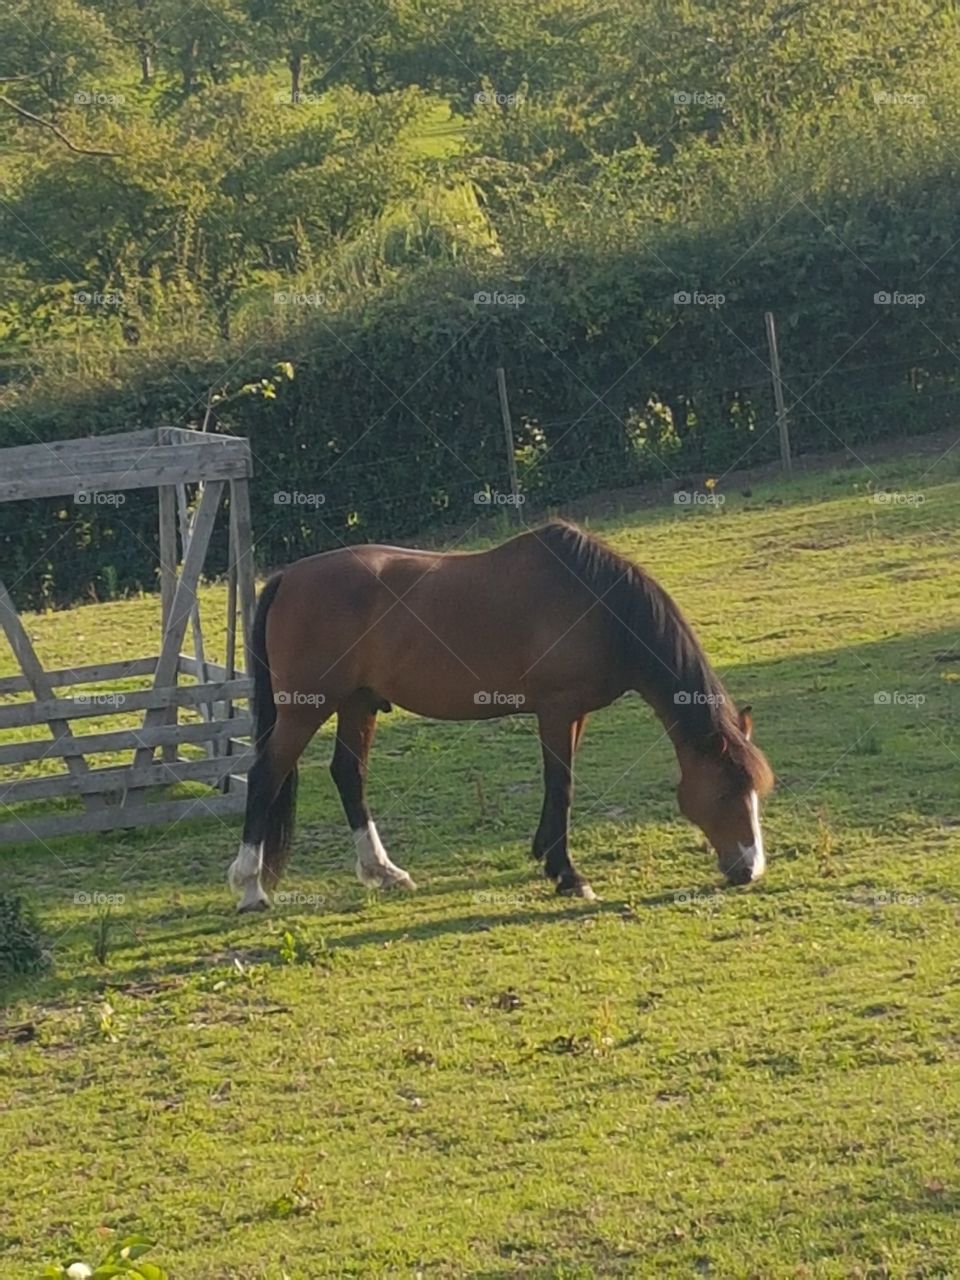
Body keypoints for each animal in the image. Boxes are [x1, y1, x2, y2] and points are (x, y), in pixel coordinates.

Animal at [228, 519, 773, 911]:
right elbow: (562, 784)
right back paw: (252, 889)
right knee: (266, 776)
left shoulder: (574, 715)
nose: (749, 870)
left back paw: (385, 873)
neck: (599, 604)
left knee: (348, 775)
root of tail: (287, 578)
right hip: (304, 711)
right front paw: (569, 875)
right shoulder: (556, 710)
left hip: (357, 703)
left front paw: (547, 859)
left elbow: (559, 786)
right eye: (725, 792)